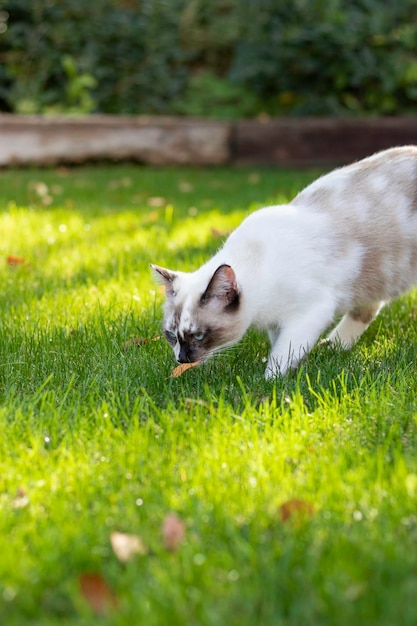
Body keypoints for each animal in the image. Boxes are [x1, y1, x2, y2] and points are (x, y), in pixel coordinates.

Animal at [151, 147, 416, 376]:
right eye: (171, 335)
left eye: (198, 336)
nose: (181, 359)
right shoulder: (276, 324)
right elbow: (278, 344)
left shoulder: (311, 312)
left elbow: (282, 355)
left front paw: (270, 384)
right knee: (367, 309)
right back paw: (334, 347)